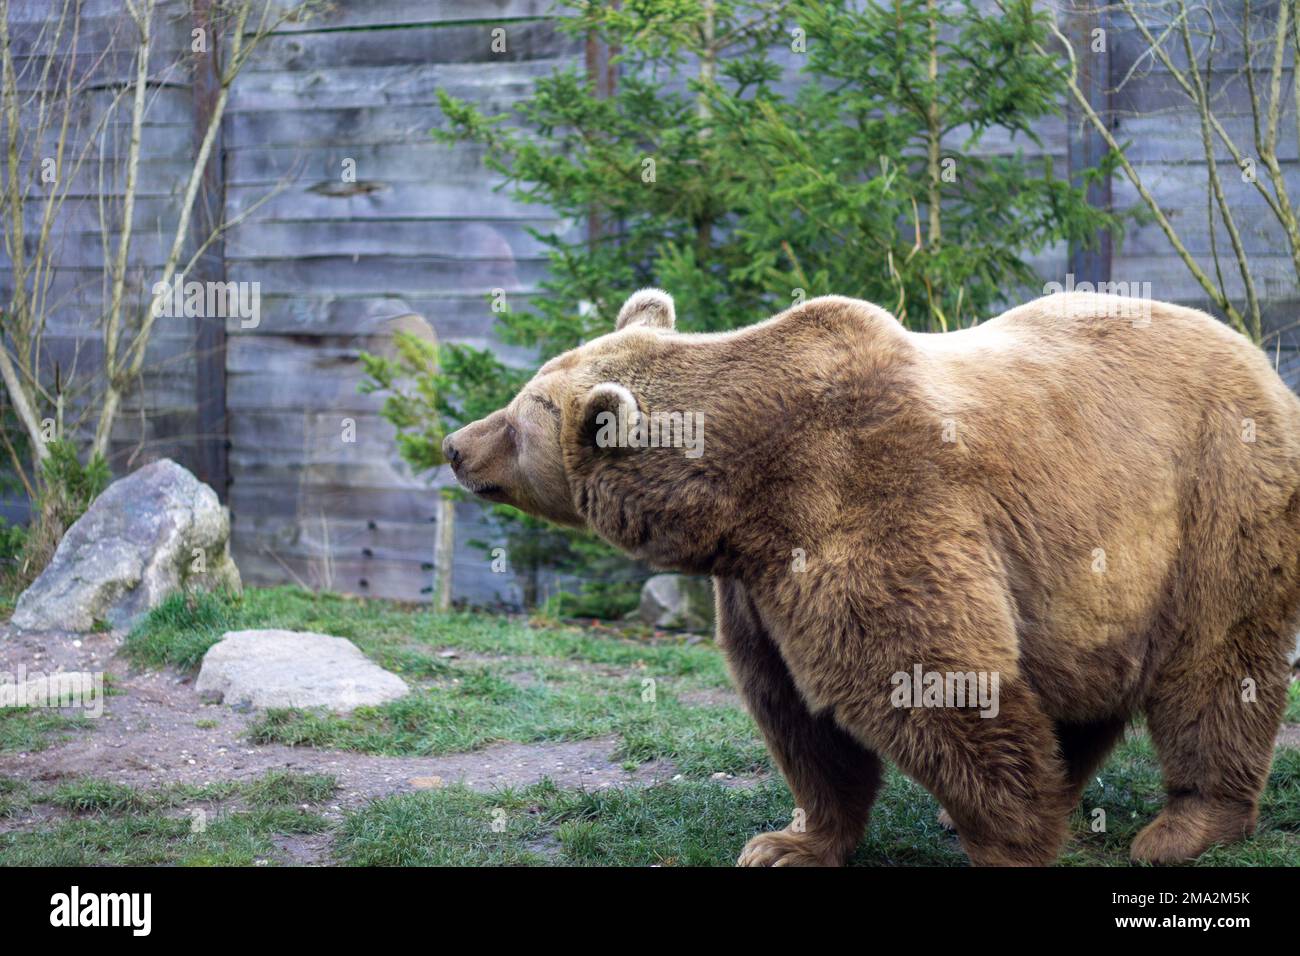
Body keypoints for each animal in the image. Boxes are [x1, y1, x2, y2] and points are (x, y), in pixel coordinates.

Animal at [439, 290, 1300, 868]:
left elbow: (922, 673)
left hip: (1216, 499)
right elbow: (795, 712)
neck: (739, 491)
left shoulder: (866, 497)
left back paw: (1185, 826)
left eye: (521, 414)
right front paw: (786, 841)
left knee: (1216, 667)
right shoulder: (757, 581)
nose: (454, 444)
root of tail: (1258, 357)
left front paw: (1009, 841)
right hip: (1093, 579)